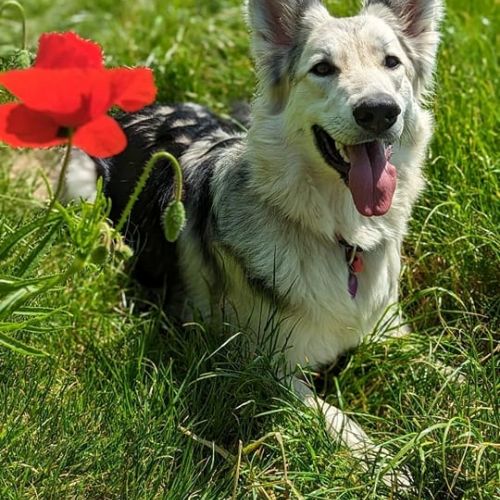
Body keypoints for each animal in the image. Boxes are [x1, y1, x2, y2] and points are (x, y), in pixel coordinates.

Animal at [66, 0, 444, 488]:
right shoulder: (267, 367)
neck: (341, 237)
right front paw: (384, 464)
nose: (379, 111)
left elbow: (443, 362)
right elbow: (335, 418)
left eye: (391, 63)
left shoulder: (390, 329)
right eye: (323, 68)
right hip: (82, 188)